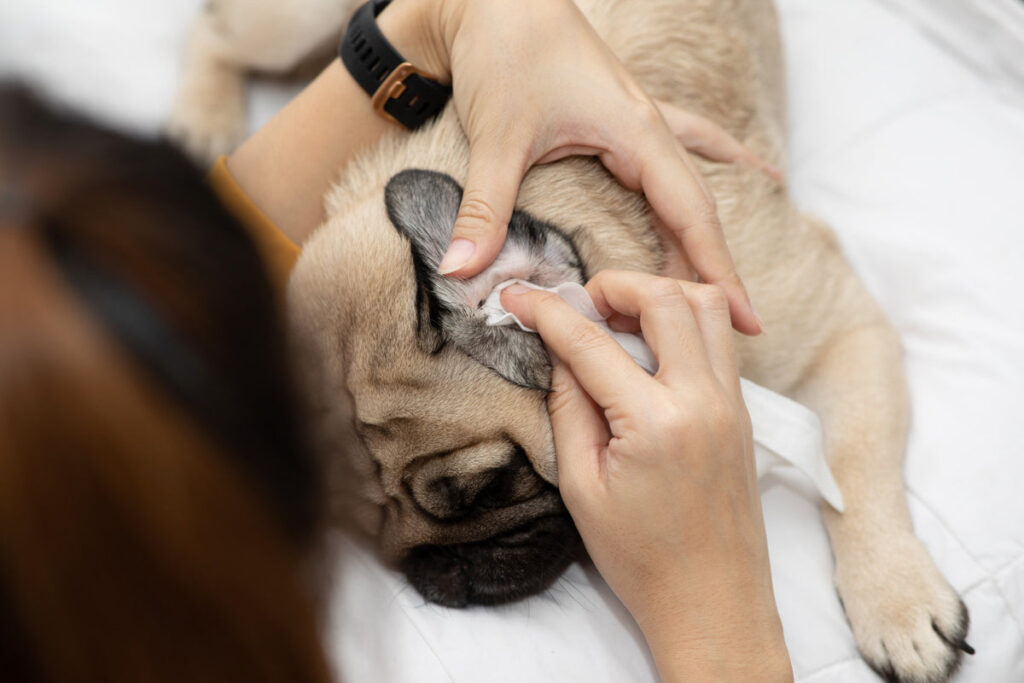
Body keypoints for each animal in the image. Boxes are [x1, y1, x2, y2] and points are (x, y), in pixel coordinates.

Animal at [172, 0, 970, 679]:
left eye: (493, 484)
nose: (436, 568)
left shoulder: (839, 326)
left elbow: (852, 458)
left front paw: (897, 601)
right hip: (289, 22)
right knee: (214, 32)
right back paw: (201, 121)